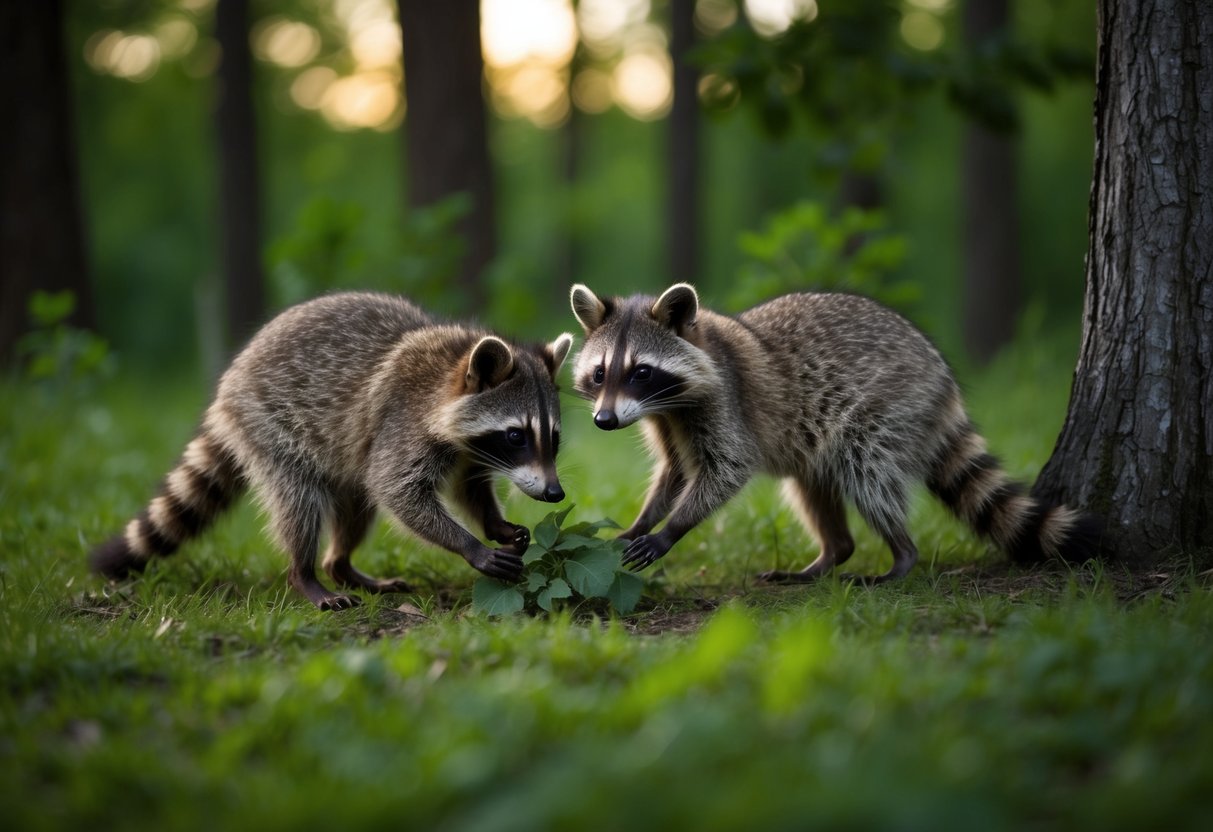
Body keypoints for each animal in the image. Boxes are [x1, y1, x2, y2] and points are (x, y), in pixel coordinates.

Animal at [91, 292, 573, 610]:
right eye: (516, 436)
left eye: (554, 437)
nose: (554, 493)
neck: (450, 372)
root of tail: (227, 389)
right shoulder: (403, 423)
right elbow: (397, 490)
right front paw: (469, 545)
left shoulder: (467, 449)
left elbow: (467, 486)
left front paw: (494, 523)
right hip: (270, 428)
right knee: (301, 504)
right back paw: (305, 574)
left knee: (357, 504)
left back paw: (341, 565)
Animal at [569, 283, 1098, 582]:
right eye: (600, 373)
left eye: (641, 372)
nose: (604, 421)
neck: (667, 403)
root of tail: (941, 376)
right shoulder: (665, 420)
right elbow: (676, 472)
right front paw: (642, 521)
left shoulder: (725, 403)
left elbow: (725, 471)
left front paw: (672, 528)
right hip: (816, 442)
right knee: (810, 486)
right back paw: (831, 554)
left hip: (888, 406)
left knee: (870, 474)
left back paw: (901, 554)